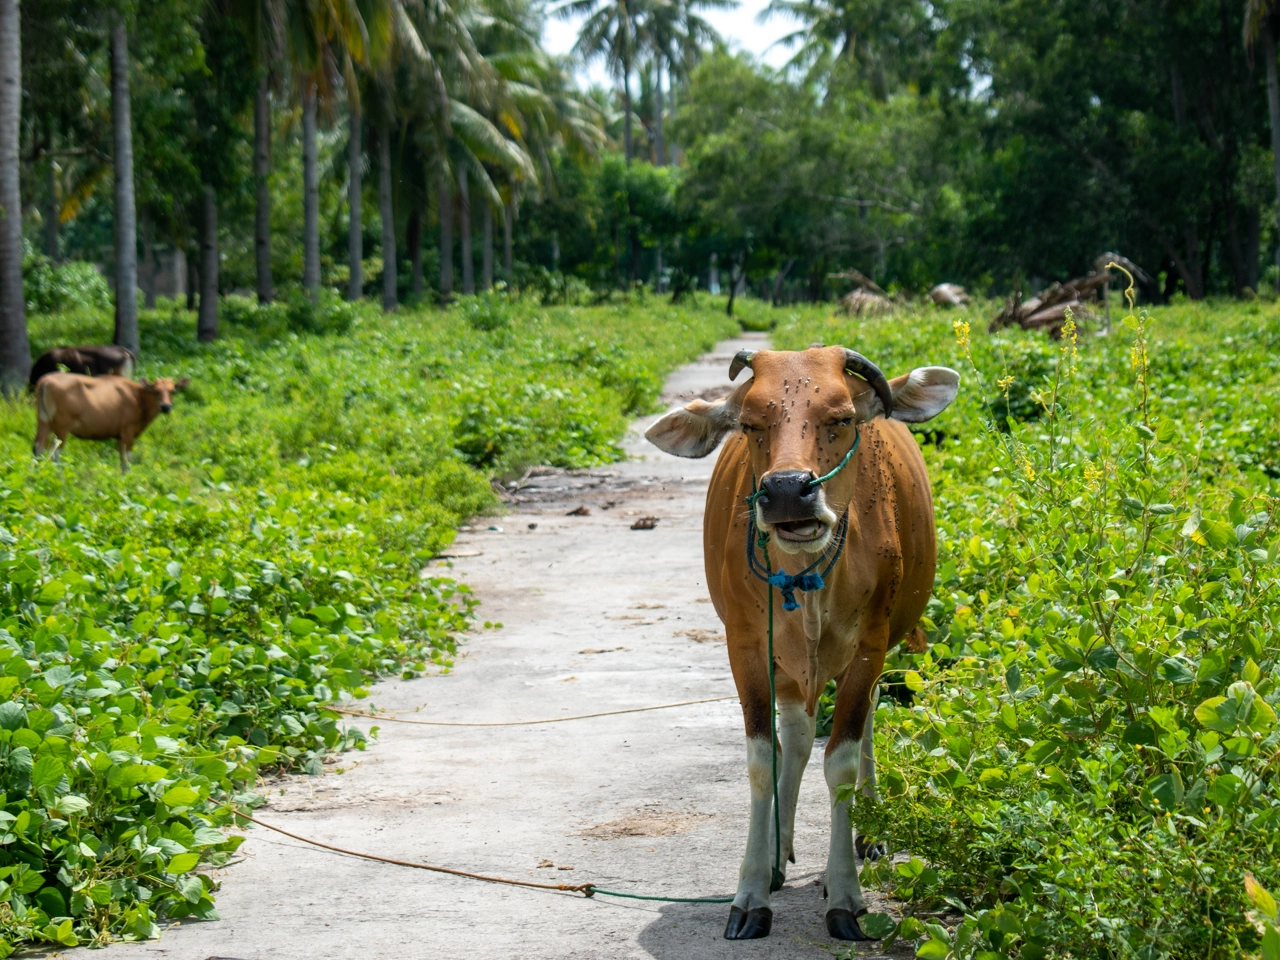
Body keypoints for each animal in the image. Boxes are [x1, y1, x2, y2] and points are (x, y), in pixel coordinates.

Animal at [34, 374, 190, 473]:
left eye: (173, 391)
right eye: (156, 391)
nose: (166, 407)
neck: (139, 399)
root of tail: (45, 381)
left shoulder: (119, 435)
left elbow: (122, 461)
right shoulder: (127, 431)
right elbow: (127, 460)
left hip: (43, 421)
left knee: (38, 447)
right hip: (62, 426)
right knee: (54, 451)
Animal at [645, 345, 959, 941]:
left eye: (842, 417)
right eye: (749, 423)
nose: (789, 489)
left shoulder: (870, 646)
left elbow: (842, 761)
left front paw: (846, 895)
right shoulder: (745, 646)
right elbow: (762, 759)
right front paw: (750, 892)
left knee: (865, 720)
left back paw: (869, 827)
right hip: (785, 663)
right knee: (794, 735)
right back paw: (777, 851)